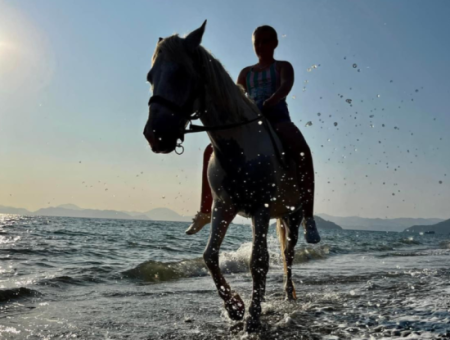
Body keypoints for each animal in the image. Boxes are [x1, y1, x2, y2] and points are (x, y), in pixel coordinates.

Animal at [144, 20, 306, 332]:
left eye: (181, 73)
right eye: (149, 77)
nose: (154, 135)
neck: (239, 145)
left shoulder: (261, 208)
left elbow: (259, 260)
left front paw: (252, 318)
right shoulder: (224, 206)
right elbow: (210, 256)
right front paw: (235, 307)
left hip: (292, 215)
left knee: (288, 255)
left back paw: (288, 295)